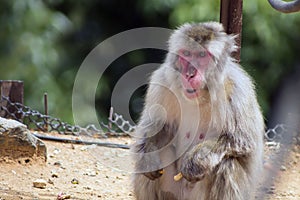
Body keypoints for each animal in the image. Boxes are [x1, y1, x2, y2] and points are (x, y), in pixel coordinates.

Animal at [131, 21, 264, 200]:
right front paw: (148, 158)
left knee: (227, 163)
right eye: (187, 53)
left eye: (202, 55)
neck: (202, 95)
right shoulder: (162, 82)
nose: (189, 74)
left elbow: (241, 139)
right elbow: (156, 127)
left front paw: (195, 162)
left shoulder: (236, 88)